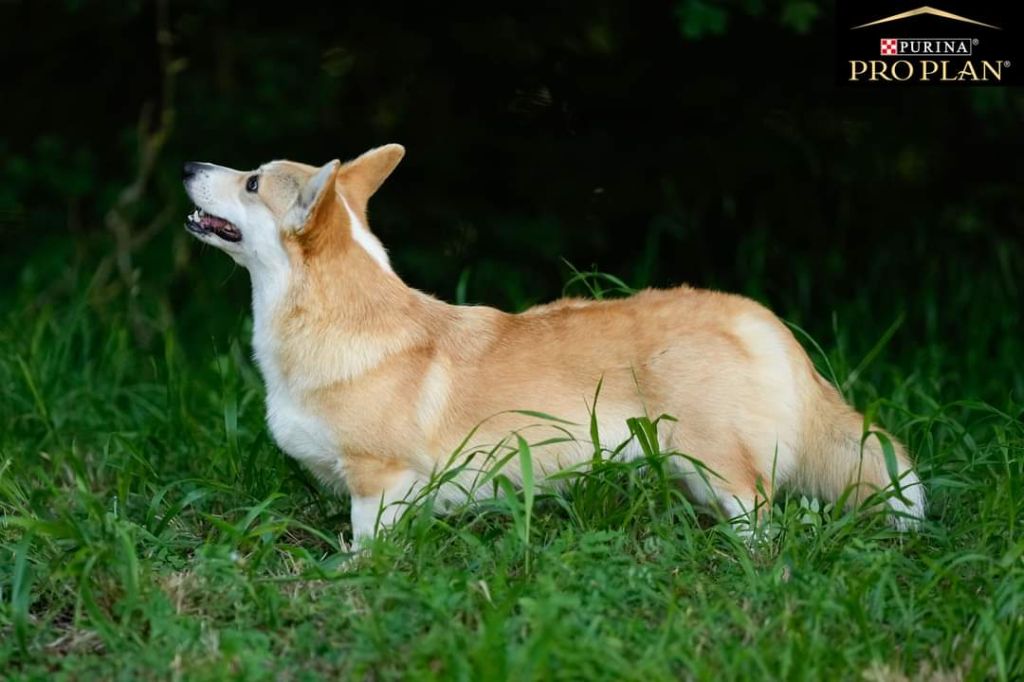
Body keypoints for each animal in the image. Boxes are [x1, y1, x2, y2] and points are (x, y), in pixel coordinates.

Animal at [184, 143, 929, 540]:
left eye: (252, 181)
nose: (190, 164)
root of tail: (757, 318)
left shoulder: (380, 482)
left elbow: (365, 546)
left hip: (722, 467)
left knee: (764, 526)